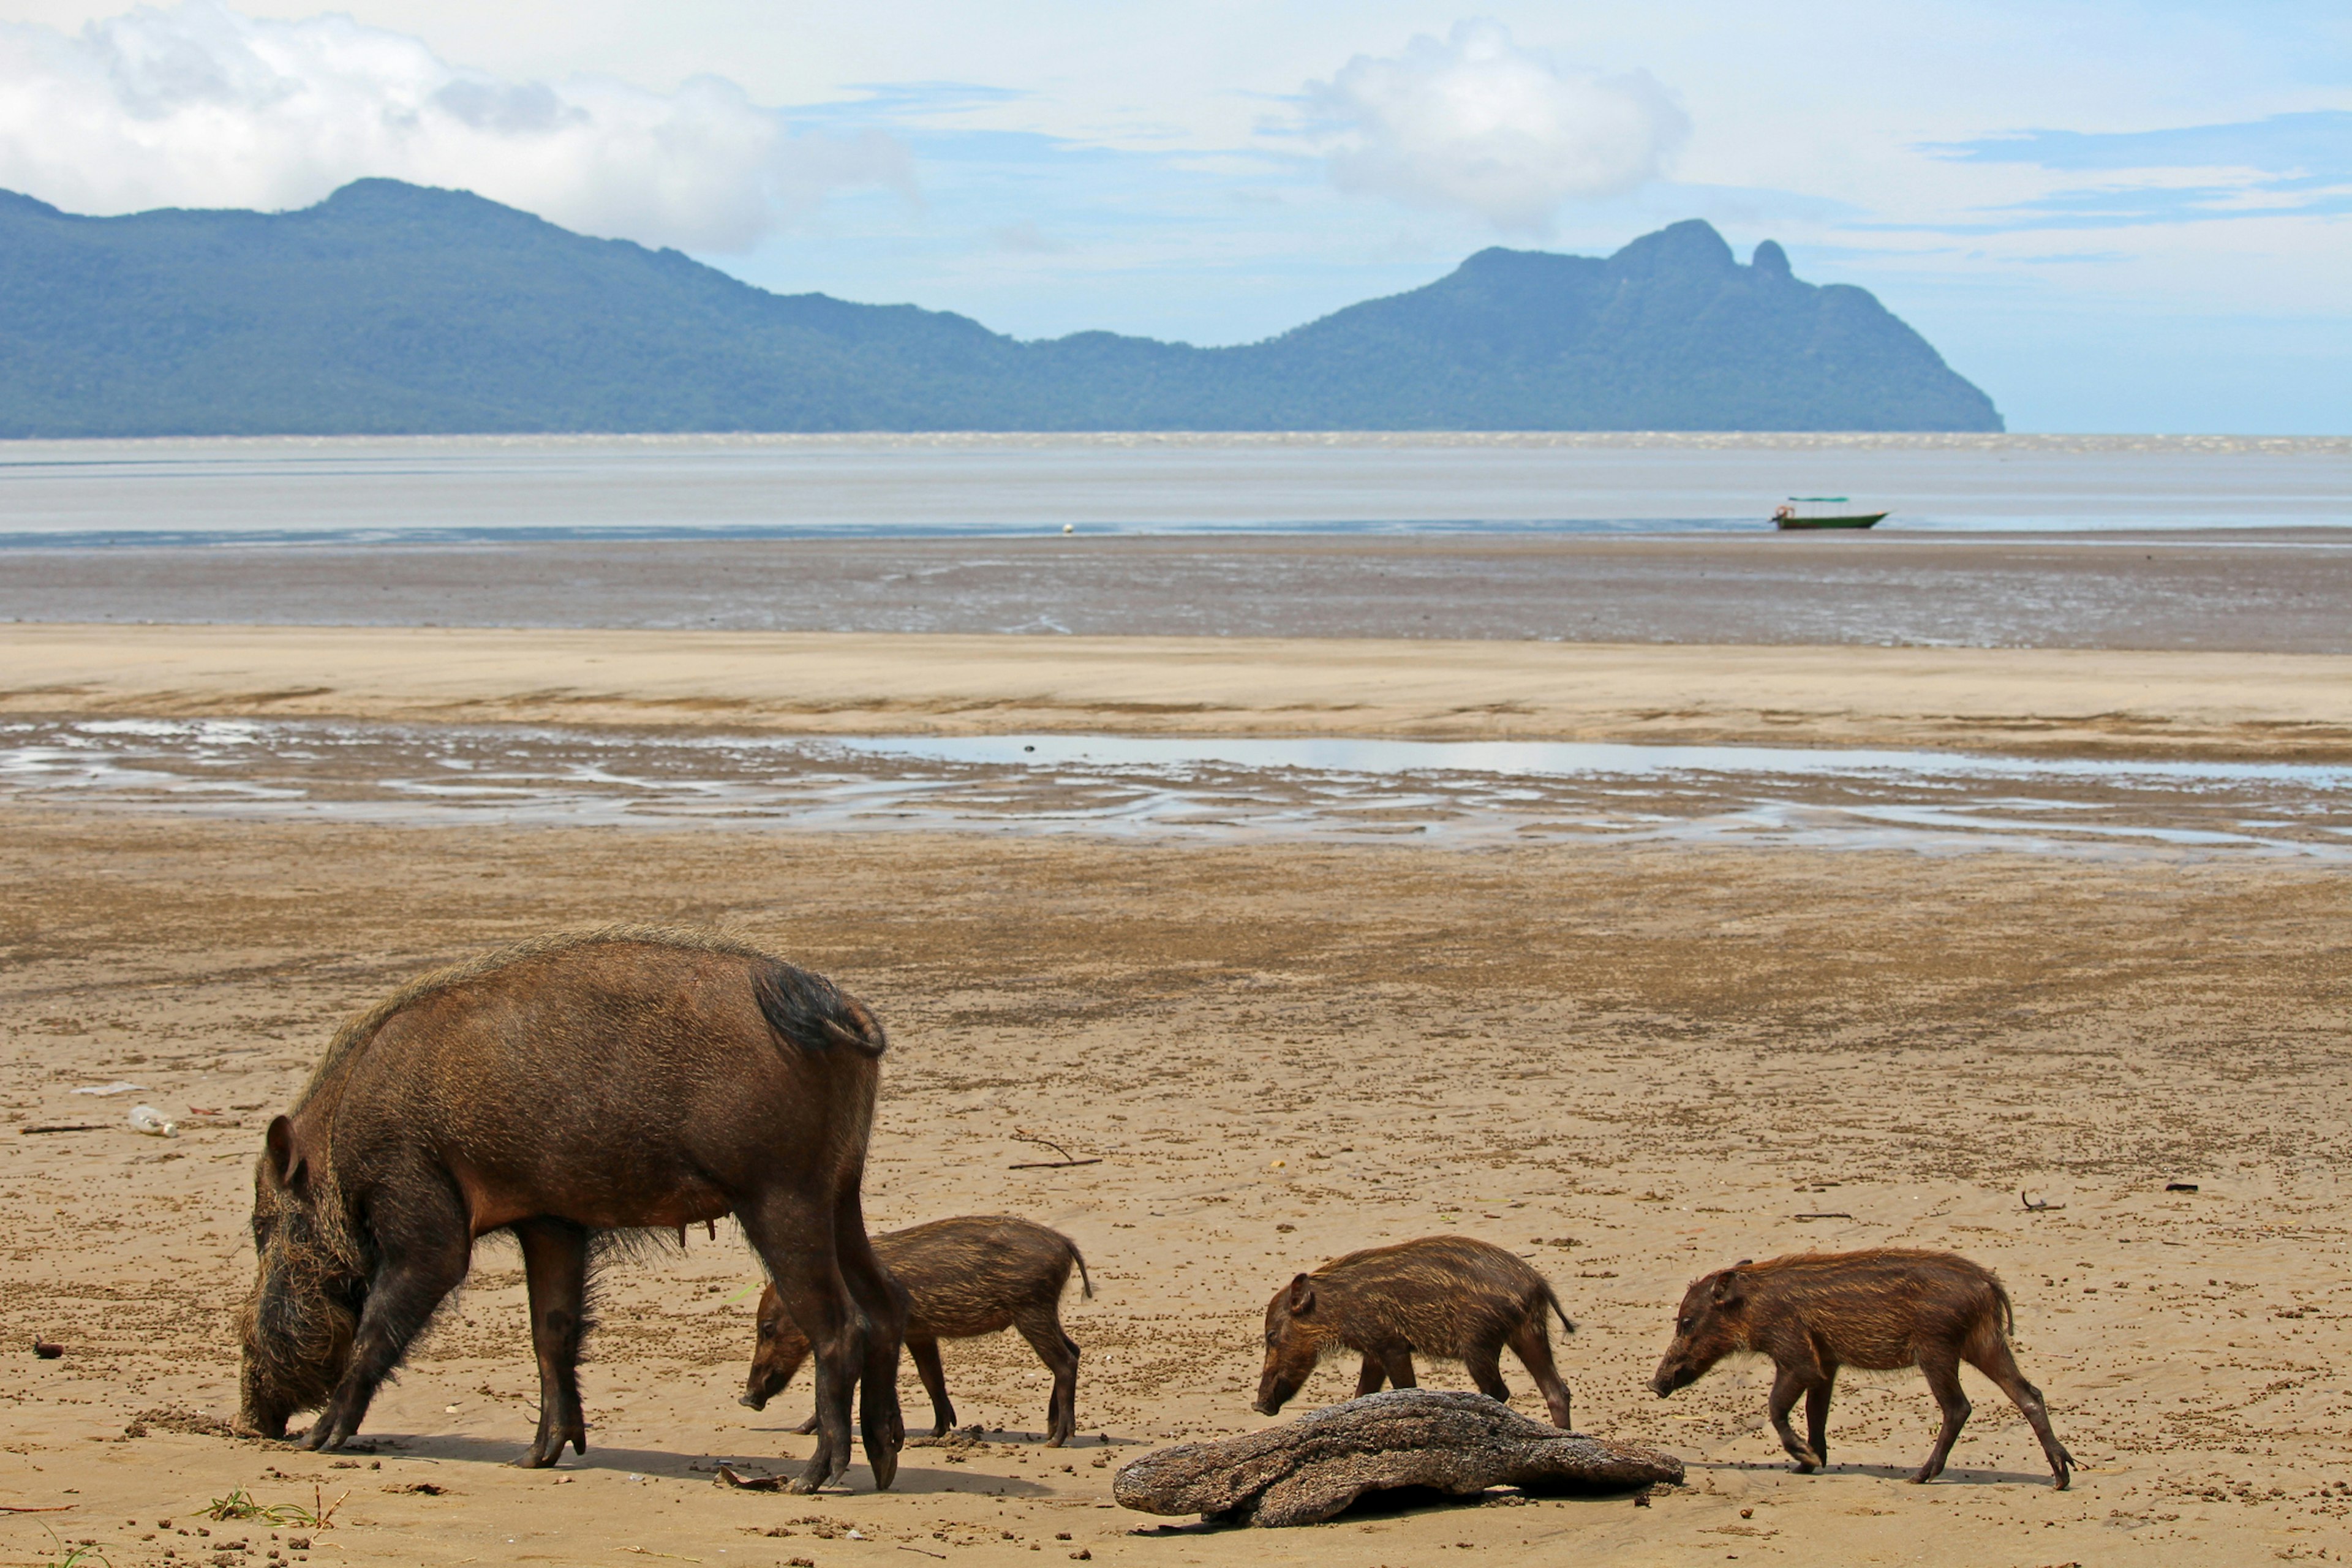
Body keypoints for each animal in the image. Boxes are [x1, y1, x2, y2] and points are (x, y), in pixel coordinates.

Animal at [234, 930, 903, 1495]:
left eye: (265, 1227)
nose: (248, 1422)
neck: (340, 1144)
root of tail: (838, 1005)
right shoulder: (550, 1221)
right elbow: (550, 1330)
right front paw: (534, 1458)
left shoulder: (423, 1215)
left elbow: (378, 1324)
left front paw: (320, 1440)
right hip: (841, 1192)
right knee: (885, 1303)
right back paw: (884, 1463)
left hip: (783, 1194)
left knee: (843, 1325)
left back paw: (810, 1480)